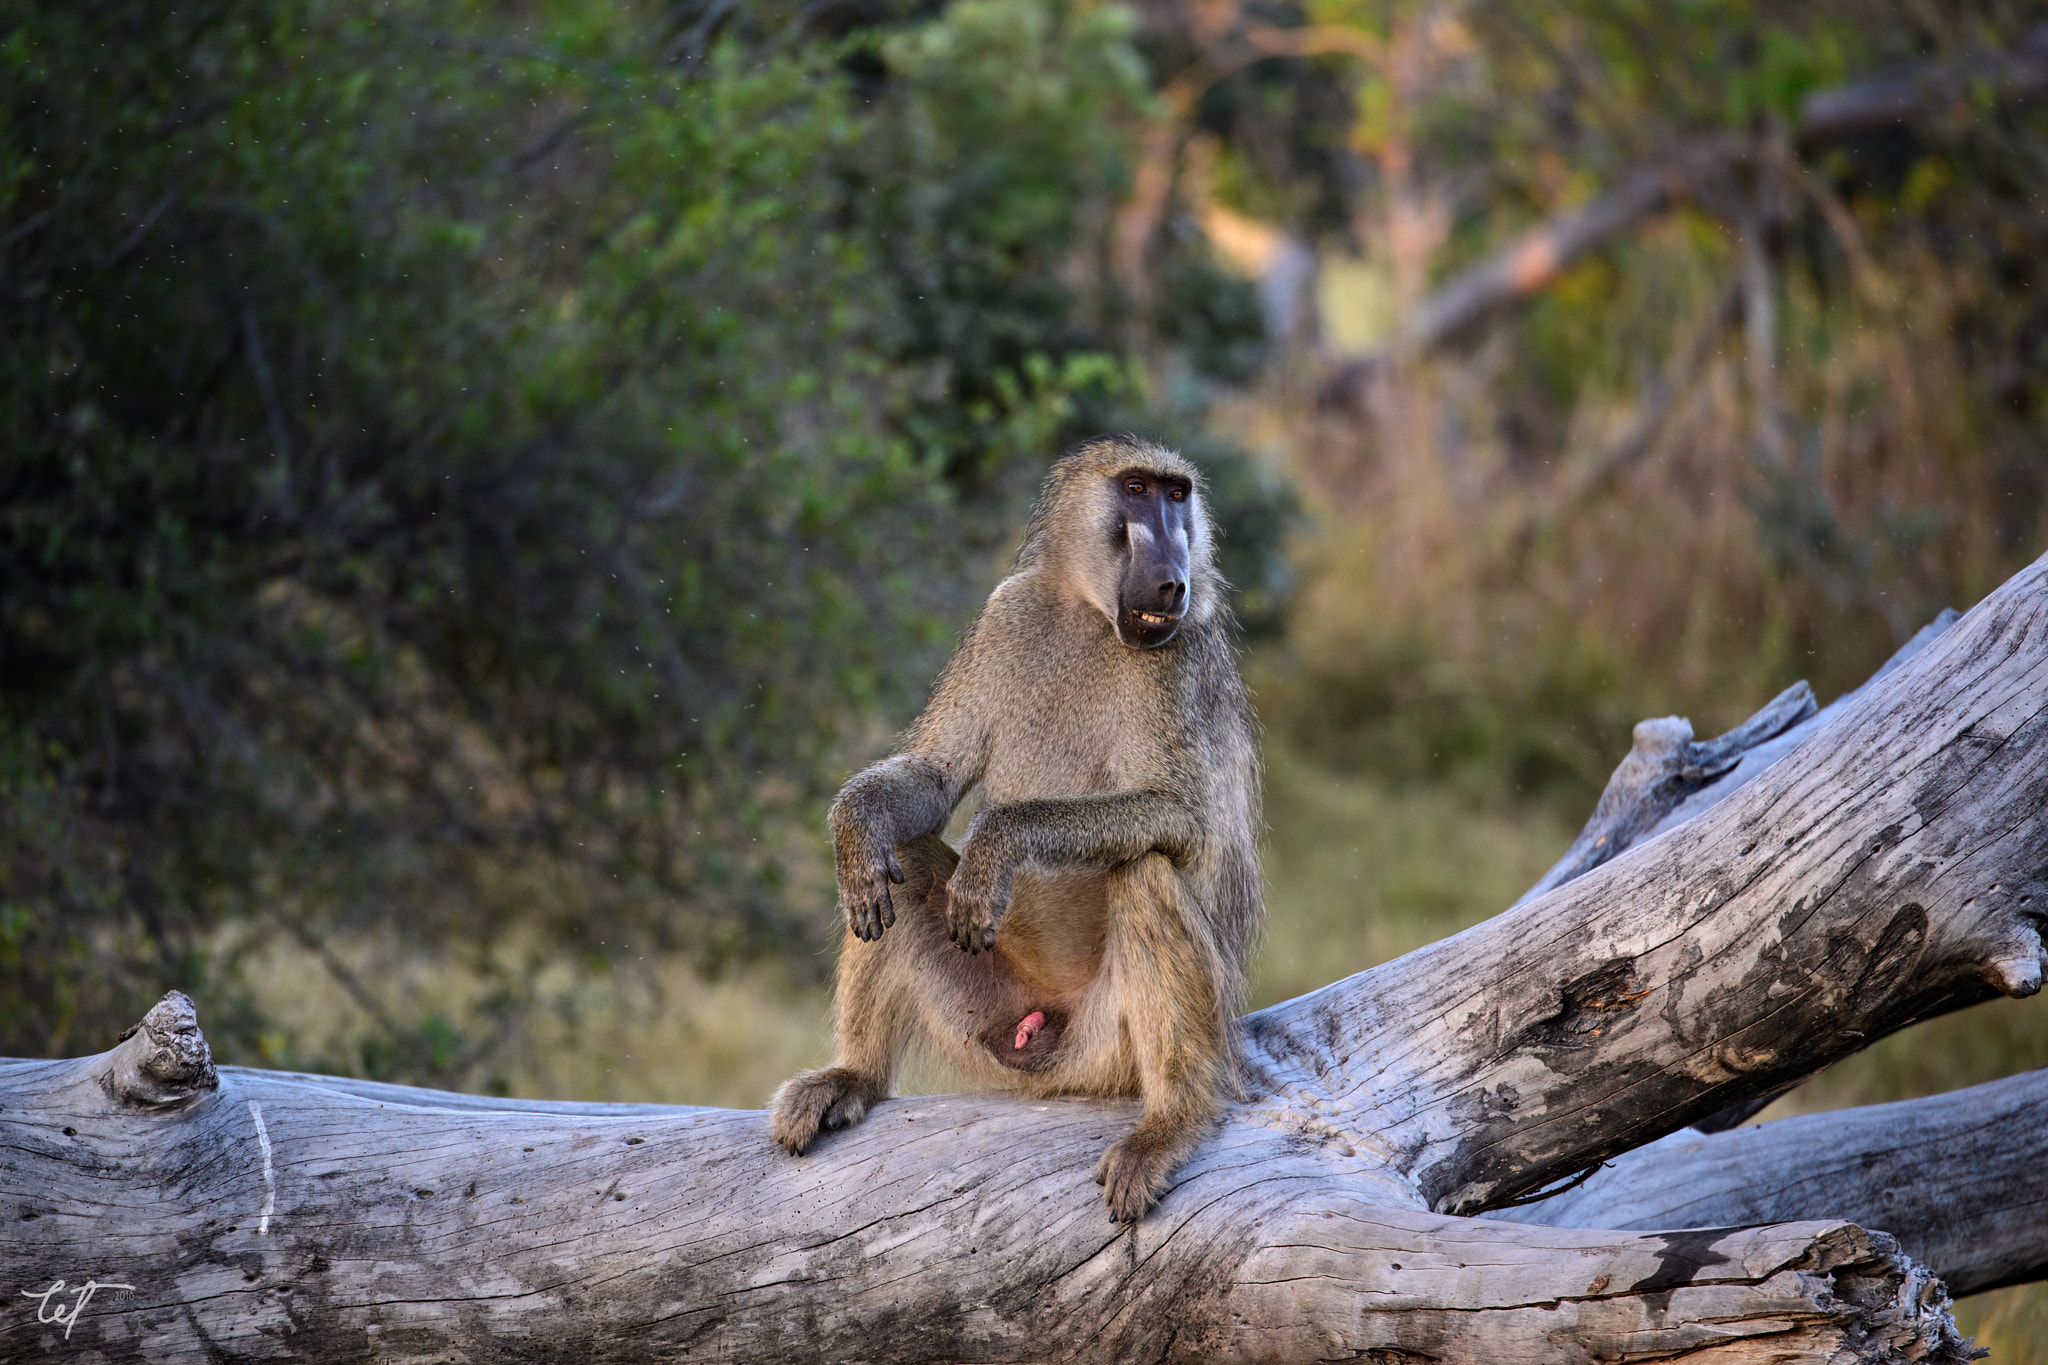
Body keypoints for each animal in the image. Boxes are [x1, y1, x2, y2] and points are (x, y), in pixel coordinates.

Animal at [768, 435, 1262, 1222]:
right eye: (1137, 489)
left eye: (1178, 495)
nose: (1172, 581)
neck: (1087, 613)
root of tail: (1047, 1039)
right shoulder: (1008, 610)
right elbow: (934, 778)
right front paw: (853, 822)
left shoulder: (1179, 658)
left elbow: (1180, 818)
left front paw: (998, 841)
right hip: (998, 1013)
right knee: (895, 857)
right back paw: (853, 1075)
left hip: (1112, 1046)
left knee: (1143, 872)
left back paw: (1172, 1123)